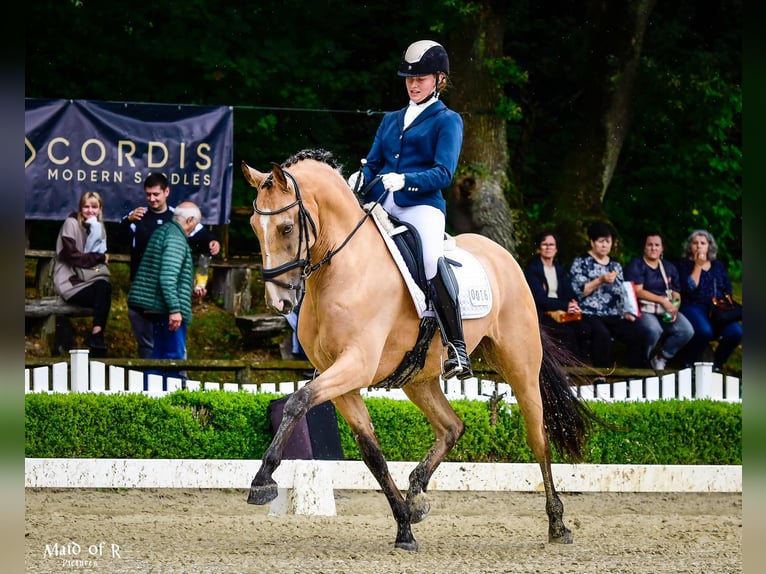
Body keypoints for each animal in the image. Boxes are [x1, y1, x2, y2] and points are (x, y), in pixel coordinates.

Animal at [243, 148, 596, 552]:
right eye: (254, 226)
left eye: (286, 228)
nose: (279, 301)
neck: (342, 268)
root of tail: (504, 257)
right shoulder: (340, 377)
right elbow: (371, 452)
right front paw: (404, 526)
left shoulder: (356, 364)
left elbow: (298, 402)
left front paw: (263, 480)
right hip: (419, 378)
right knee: (452, 426)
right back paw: (416, 496)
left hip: (520, 366)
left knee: (538, 438)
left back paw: (558, 524)